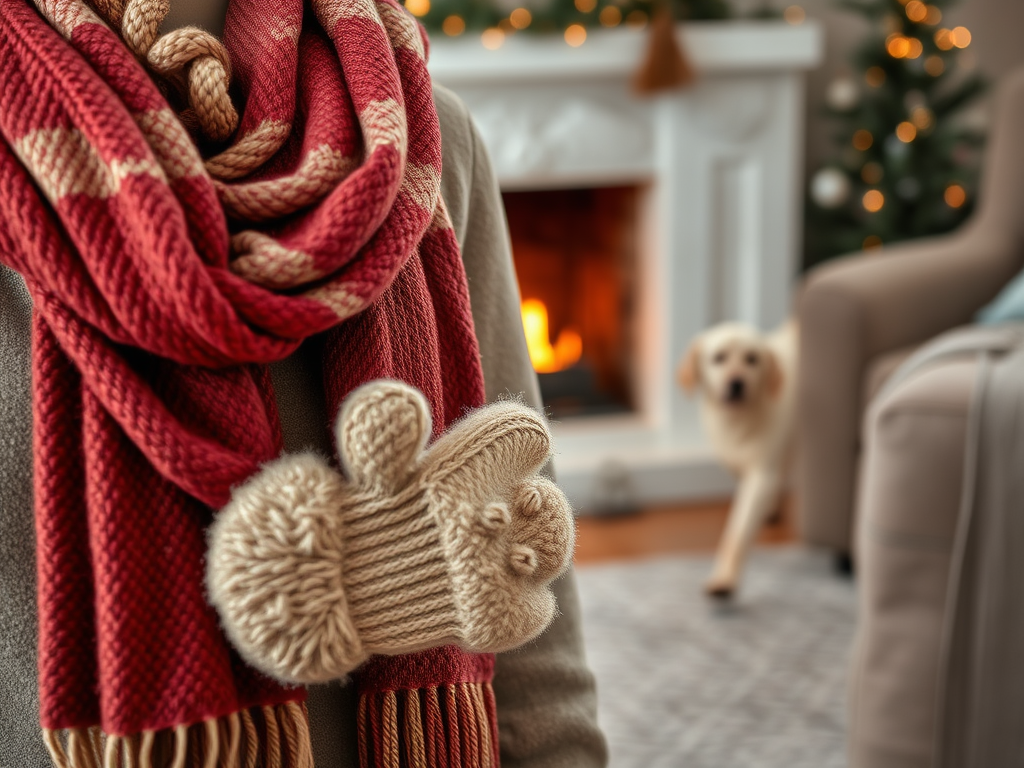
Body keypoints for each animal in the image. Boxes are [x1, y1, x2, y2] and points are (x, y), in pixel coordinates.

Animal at [679, 321, 798, 598]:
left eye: (752, 359)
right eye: (718, 358)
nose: (737, 383)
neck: (737, 422)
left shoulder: (762, 473)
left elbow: (736, 533)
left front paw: (725, 579)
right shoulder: (740, 464)